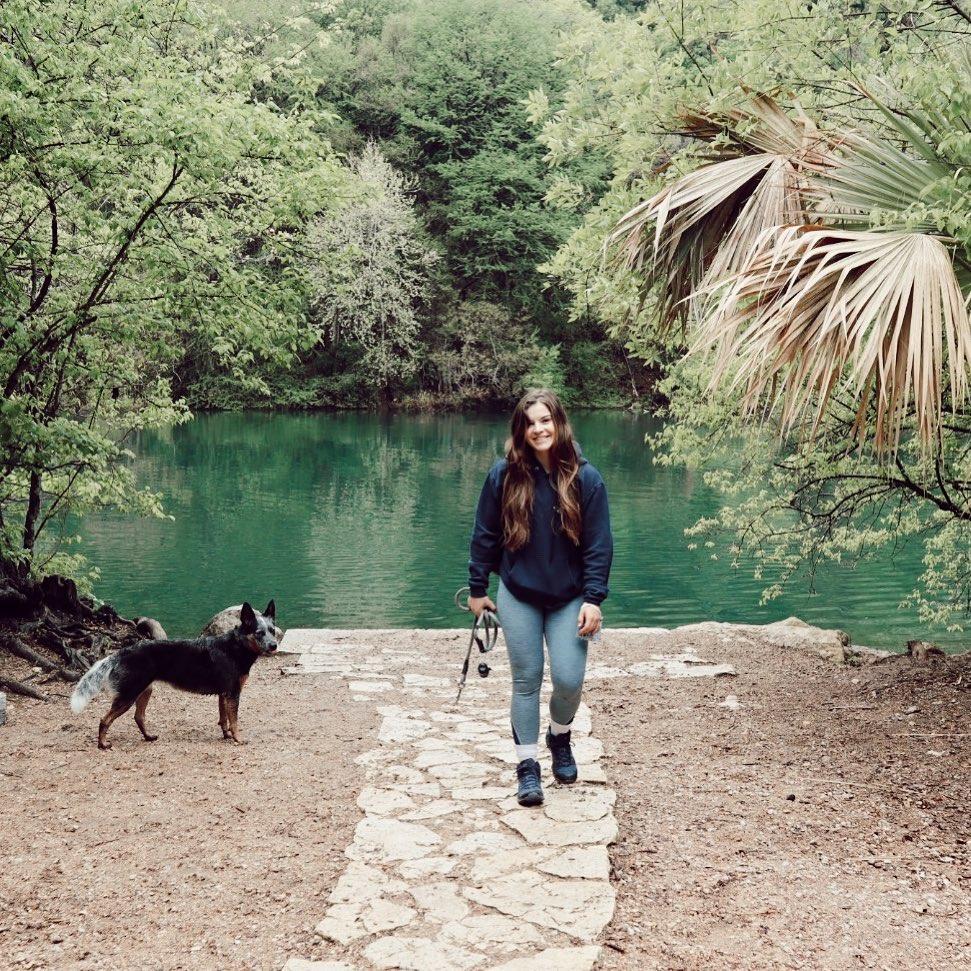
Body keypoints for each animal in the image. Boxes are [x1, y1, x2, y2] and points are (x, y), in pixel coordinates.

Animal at [70, 600, 278, 752]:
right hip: (128, 696)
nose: (274, 645)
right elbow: (234, 721)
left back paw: (148, 737)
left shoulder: (224, 694)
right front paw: (237, 739)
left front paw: (226, 735)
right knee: (104, 720)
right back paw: (102, 745)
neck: (236, 647)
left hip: (145, 691)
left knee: (138, 717)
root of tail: (120, 653)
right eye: (259, 633)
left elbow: (224, 719)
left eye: (273, 631)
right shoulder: (233, 693)